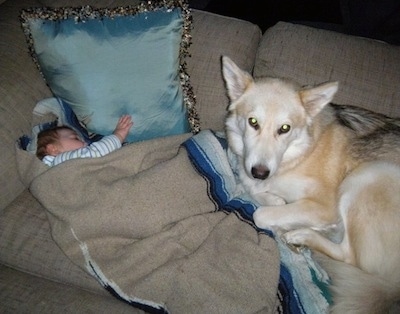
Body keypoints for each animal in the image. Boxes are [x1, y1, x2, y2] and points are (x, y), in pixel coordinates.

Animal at [220, 55, 400, 312]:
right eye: (253, 122)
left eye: (284, 128)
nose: (260, 173)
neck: (301, 153)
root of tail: (393, 286)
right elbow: (264, 196)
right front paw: (274, 200)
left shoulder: (325, 206)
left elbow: (261, 214)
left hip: (367, 175)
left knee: (349, 256)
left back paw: (303, 236)